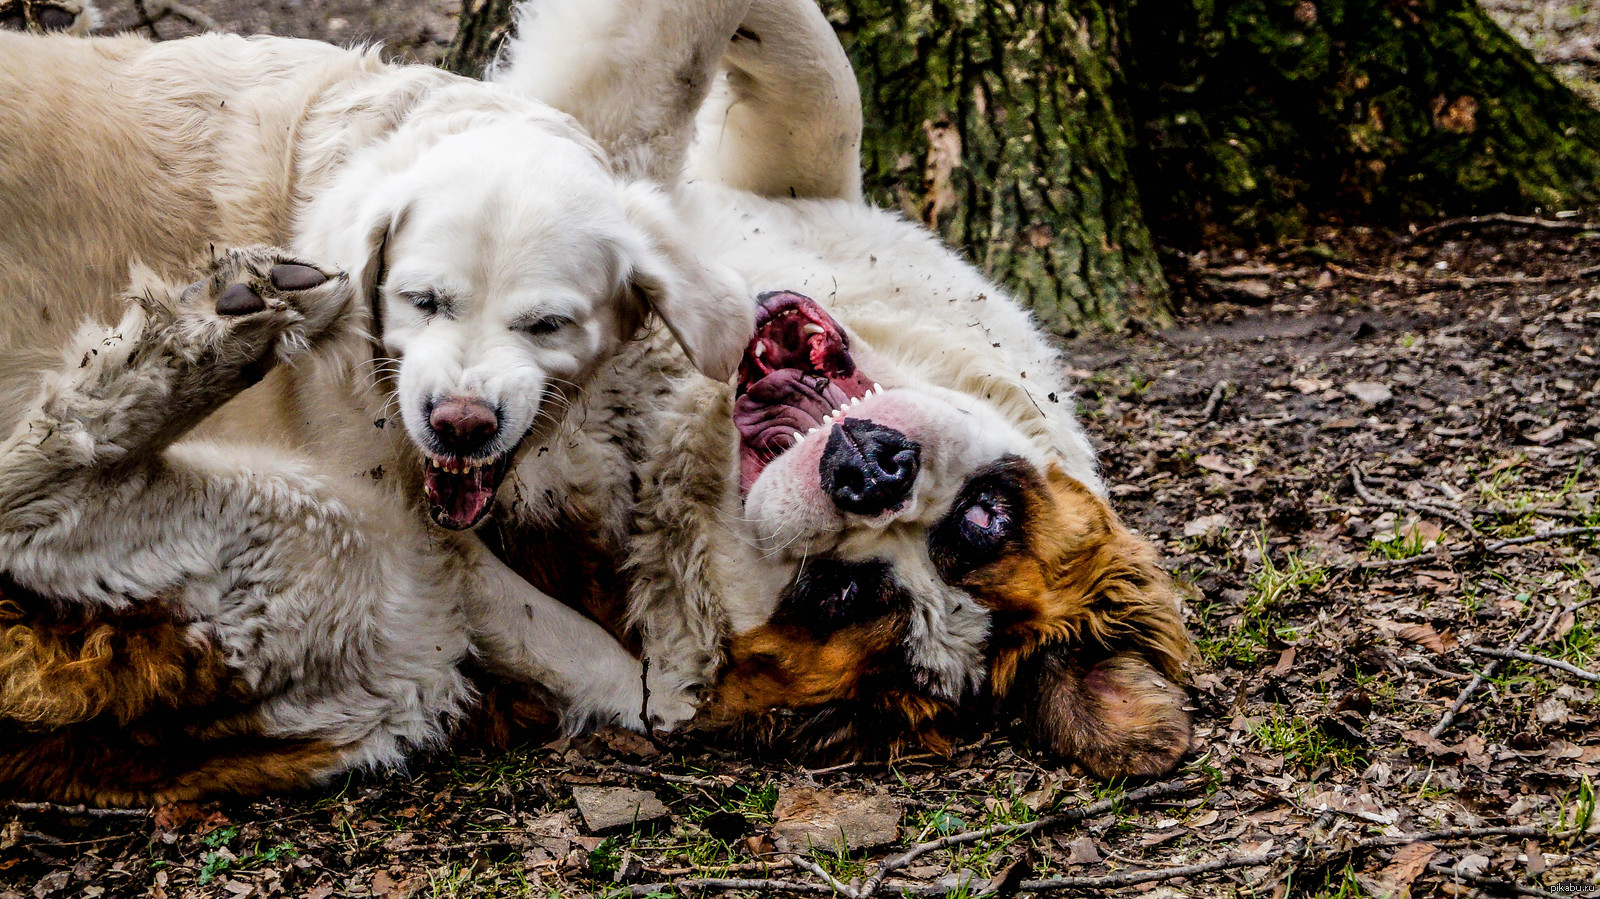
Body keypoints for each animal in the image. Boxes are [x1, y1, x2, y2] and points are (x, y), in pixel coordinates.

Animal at [0, 29, 748, 796]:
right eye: (423, 300)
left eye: (547, 325)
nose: (460, 423)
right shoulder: (407, 519)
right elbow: (577, 643)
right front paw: (670, 690)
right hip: (355, 554)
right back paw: (218, 331)